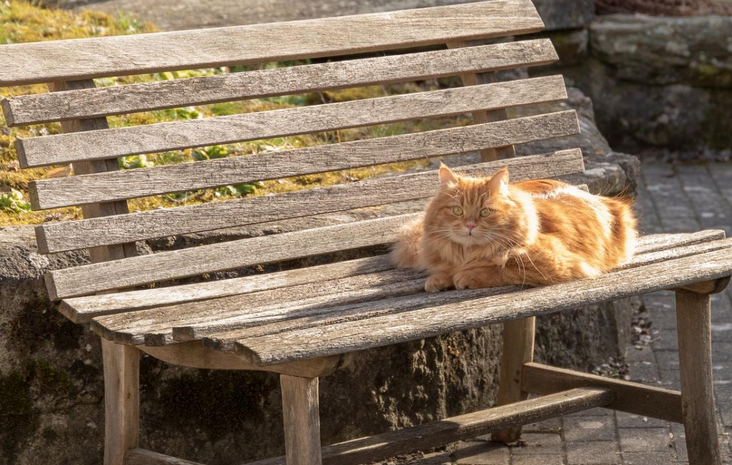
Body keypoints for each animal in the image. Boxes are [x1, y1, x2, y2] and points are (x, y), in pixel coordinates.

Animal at [392, 165, 636, 292]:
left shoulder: (555, 264)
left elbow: (499, 269)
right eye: (457, 211)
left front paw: (465, 276)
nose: (470, 225)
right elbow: (444, 270)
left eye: (485, 212)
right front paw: (440, 279)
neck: (467, 254)